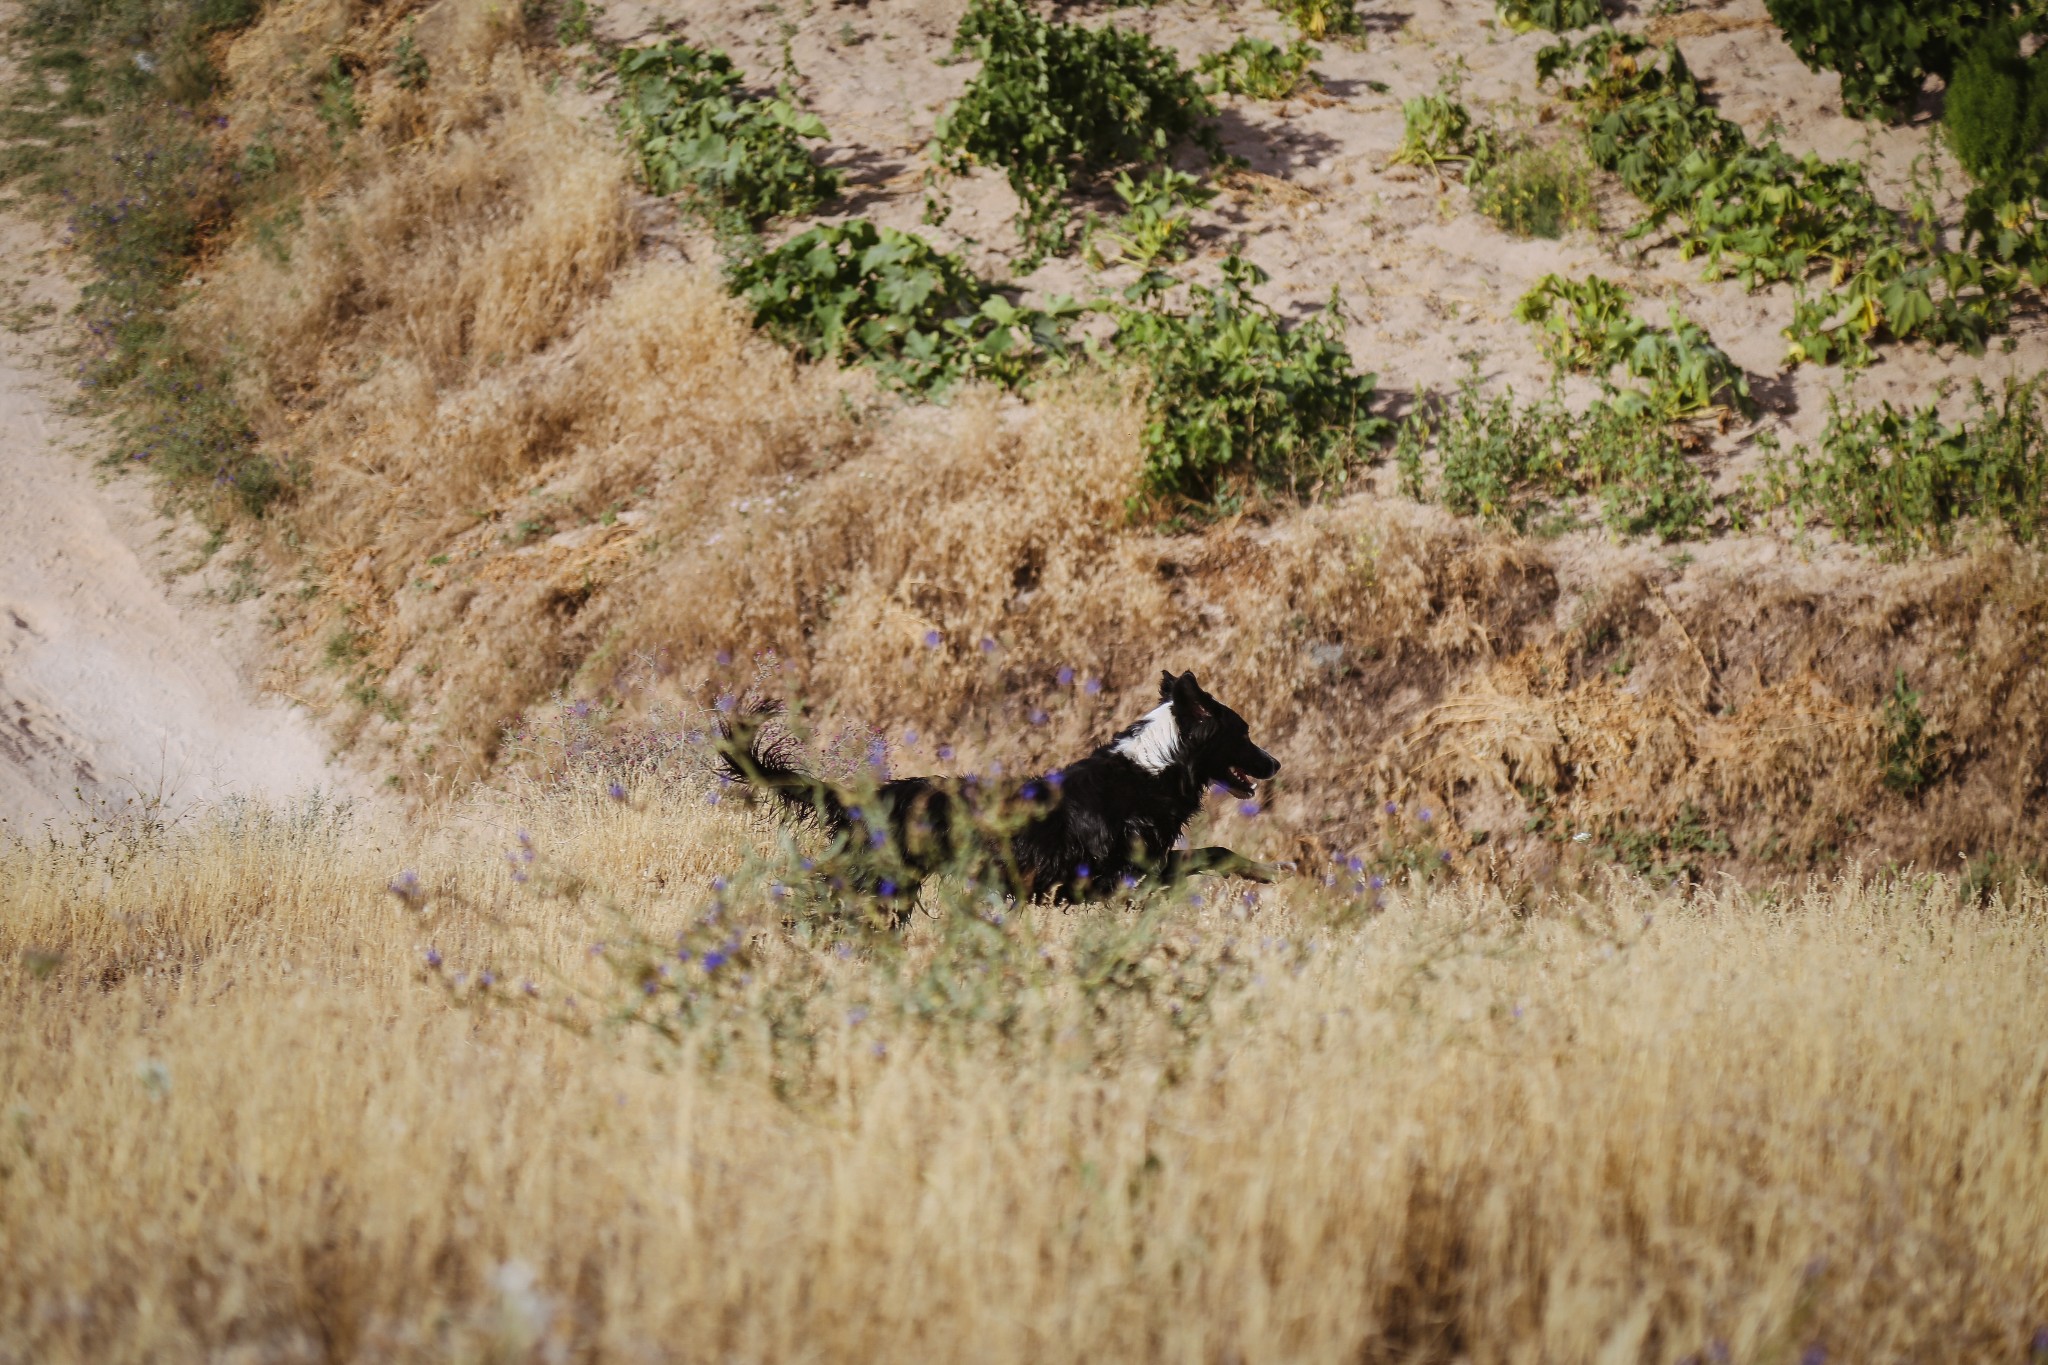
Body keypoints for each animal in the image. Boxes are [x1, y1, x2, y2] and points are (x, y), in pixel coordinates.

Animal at [720, 671, 1277, 908]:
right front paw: (1269, 870)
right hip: (878, 880)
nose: (1274, 764)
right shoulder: (1125, 875)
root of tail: (874, 796)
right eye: (1244, 732)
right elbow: (1210, 854)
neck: (1149, 769)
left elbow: (1210, 853)